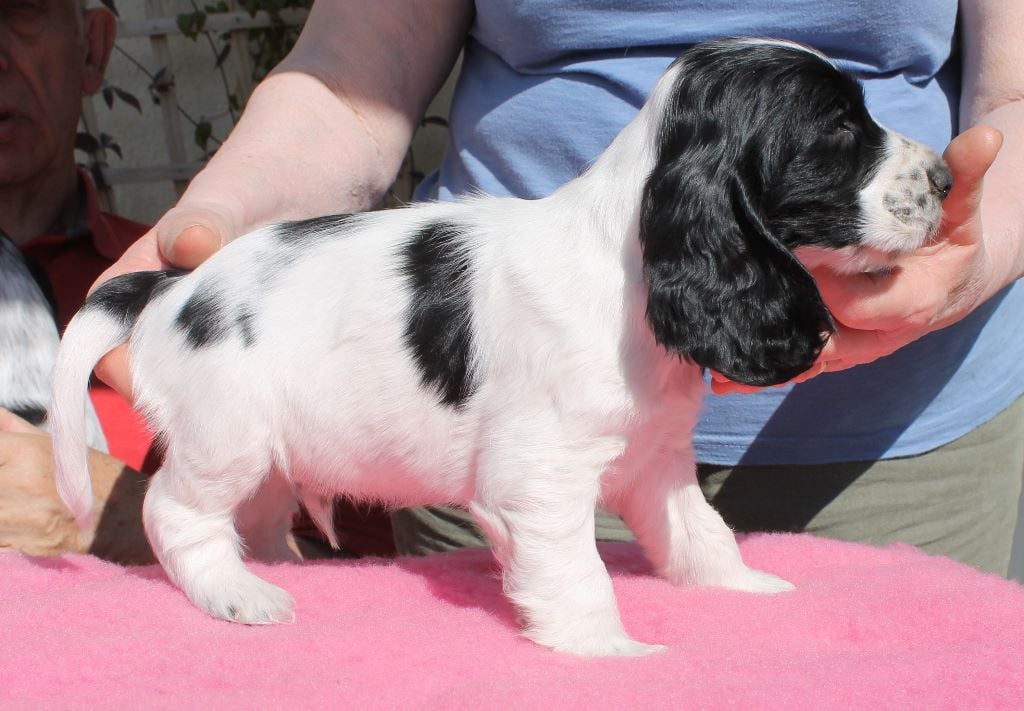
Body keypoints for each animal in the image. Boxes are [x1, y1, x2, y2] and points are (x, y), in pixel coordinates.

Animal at [50, 38, 951, 656]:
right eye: (840, 128)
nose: (945, 179)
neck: (628, 266)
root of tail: (169, 288)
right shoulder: (538, 478)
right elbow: (579, 569)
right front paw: (611, 649)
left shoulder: (655, 461)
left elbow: (700, 533)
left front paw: (744, 586)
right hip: (224, 437)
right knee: (175, 513)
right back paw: (239, 594)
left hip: (269, 452)